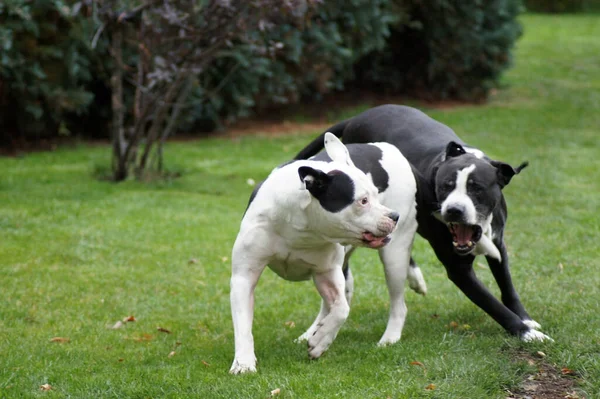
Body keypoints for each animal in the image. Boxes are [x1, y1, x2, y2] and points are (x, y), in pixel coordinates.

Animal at [229, 134, 422, 376]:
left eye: (376, 195)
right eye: (363, 201)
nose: (394, 216)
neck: (301, 225)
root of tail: (385, 146)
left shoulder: (328, 271)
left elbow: (341, 309)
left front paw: (321, 342)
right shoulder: (244, 276)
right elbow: (243, 324)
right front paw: (244, 362)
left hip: (394, 255)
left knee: (397, 303)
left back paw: (389, 337)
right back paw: (310, 332)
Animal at [296, 105, 552, 344]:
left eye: (476, 188)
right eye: (445, 186)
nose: (454, 210)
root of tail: (355, 118)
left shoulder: (498, 243)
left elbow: (507, 286)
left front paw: (526, 319)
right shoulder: (459, 270)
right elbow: (492, 304)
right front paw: (526, 332)